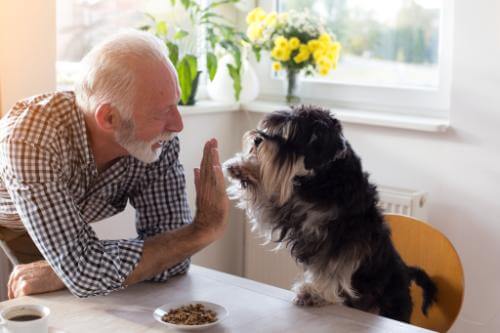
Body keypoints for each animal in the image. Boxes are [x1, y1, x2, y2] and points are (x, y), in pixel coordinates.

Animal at [225, 105, 436, 320]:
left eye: (290, 135)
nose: (257, 139)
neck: (324, 178)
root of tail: (407, 272)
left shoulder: (343, 239)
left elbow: (331, 269)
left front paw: (313, 293)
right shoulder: (287, 211)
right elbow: (266, 197)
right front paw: (241, 167)